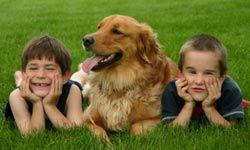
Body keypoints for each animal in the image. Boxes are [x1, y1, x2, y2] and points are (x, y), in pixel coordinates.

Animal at [81, 14, 179, 142]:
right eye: (99, 27)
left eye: (117, 31)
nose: (85, 40)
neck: (119, 82)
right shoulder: (86, 119)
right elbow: (99, 132)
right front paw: (106, 142)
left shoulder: (159, 119)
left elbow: (136, 127)